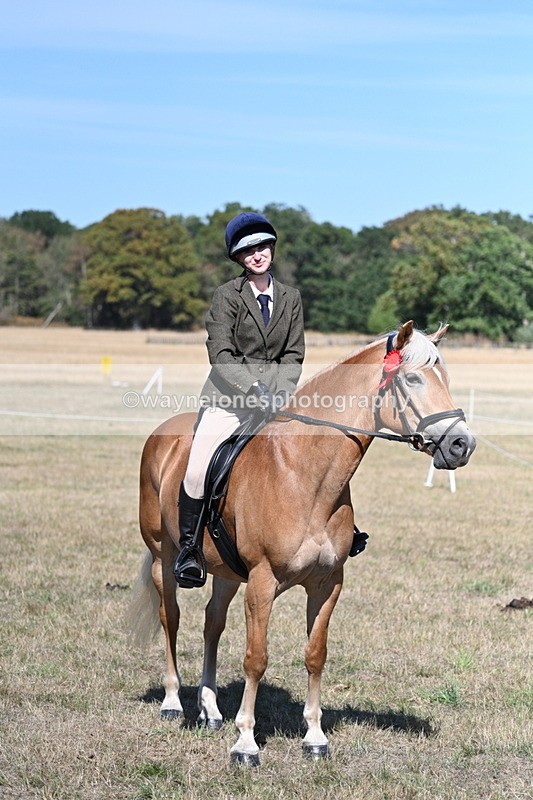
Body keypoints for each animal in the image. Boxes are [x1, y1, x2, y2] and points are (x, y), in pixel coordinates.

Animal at [130, 321, 476, 766]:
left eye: (445, 379)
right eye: (413, 379)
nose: (461, 445)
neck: (304, 473)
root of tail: (162, 434)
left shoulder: (327, 584)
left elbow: (315, 655)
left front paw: (314, 737)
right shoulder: (262, 583)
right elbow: (256, 658)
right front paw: (246, 743)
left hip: (226, 572)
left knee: (212, 623)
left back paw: (210, 710)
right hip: (164, 557)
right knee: (170, 617)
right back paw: (173, 703)